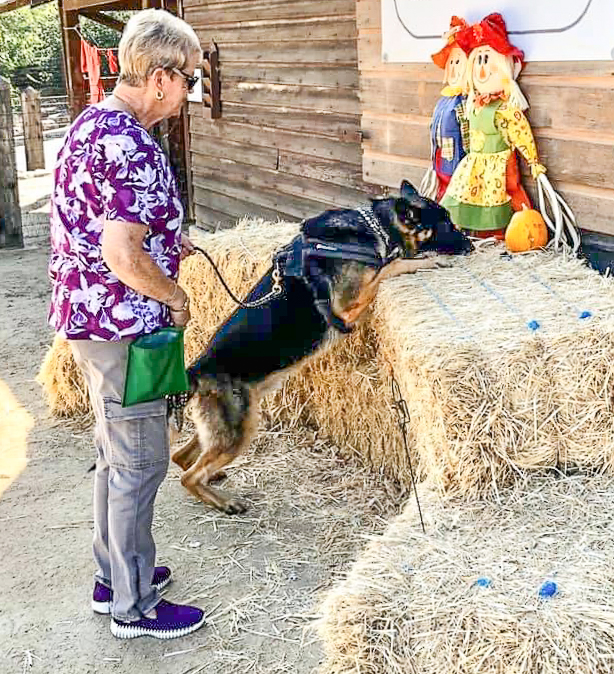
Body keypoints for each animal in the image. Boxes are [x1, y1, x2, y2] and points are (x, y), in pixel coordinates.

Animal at [171, 181, 474, 512]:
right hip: (239, 430)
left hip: (229, 424)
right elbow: (390, 266)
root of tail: (196, 370)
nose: (471, 246)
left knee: (182, 458)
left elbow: (388, 264)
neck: (376, 227)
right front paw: (428, 261)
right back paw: (225, 501)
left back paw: (212, 480)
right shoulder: (347, 305)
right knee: (187, 475)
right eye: (445, 223)